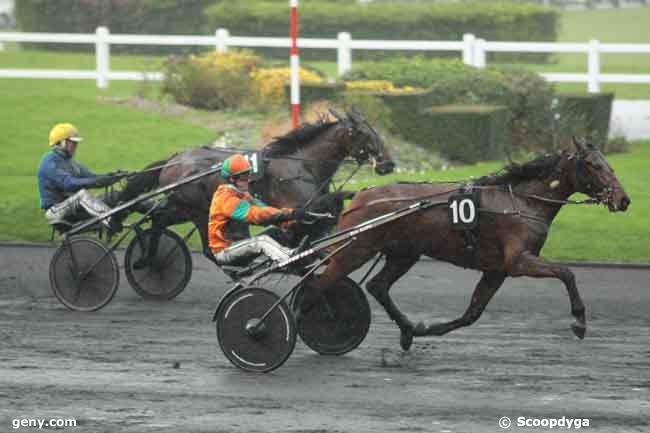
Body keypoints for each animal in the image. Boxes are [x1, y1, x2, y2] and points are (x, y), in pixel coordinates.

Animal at [118, 109, 392, 262]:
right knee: (206, 248)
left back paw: (149, 261)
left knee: (159, 219)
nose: (388, 164)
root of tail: (174, 158)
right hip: (197, 210)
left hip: (181, 207)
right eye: (365, 134)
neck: (303, 165)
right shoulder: (297, 206)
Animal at [312, 137, 632, 350]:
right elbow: (566, 273)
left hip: (404, 254)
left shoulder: (497, 270)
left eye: (610, 165)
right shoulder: (518, 261)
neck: (522, 201)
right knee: (317, 285)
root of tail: (360, 196)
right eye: (593, 165)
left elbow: (472, 314)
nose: (623, 199)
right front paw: (579, 321)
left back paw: (406, 330)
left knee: (377, 286)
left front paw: (425, 329)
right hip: (355, 250)